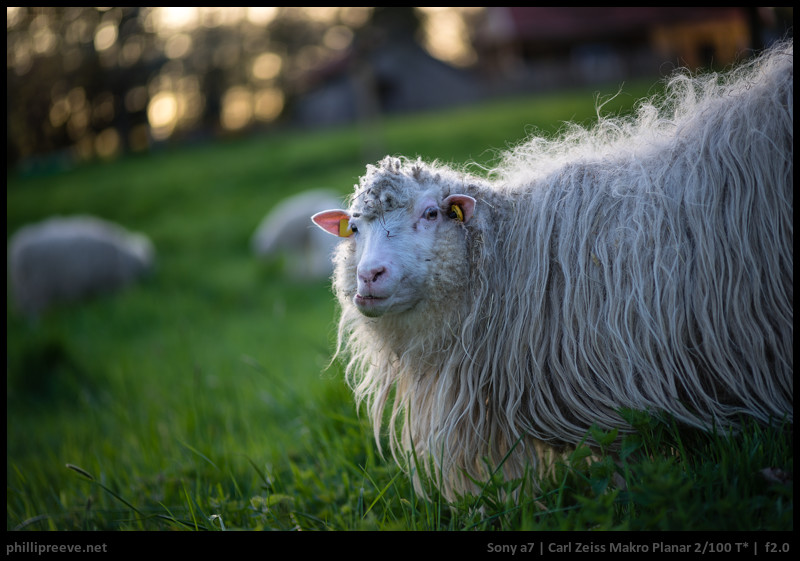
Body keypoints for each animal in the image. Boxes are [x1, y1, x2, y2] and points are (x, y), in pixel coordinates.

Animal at [8, 214, 155, 316]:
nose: (154, 275)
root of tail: (17, 251)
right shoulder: (110, 282)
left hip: (25, 288)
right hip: (37, 286)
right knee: (32, 311)